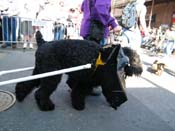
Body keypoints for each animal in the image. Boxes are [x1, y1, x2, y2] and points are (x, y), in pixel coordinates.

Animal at [15, 31, 143, 111]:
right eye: (135, 59)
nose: (140, 70)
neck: (107, 59)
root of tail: (43, 43)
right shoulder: (86, 80)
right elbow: (79, 91)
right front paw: (79, 104)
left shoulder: (85, 80)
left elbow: (78, 89)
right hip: (51, 76)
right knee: (41, 92)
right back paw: (46, 105)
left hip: (40, 71)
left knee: (27, 84)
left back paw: (20, 95)